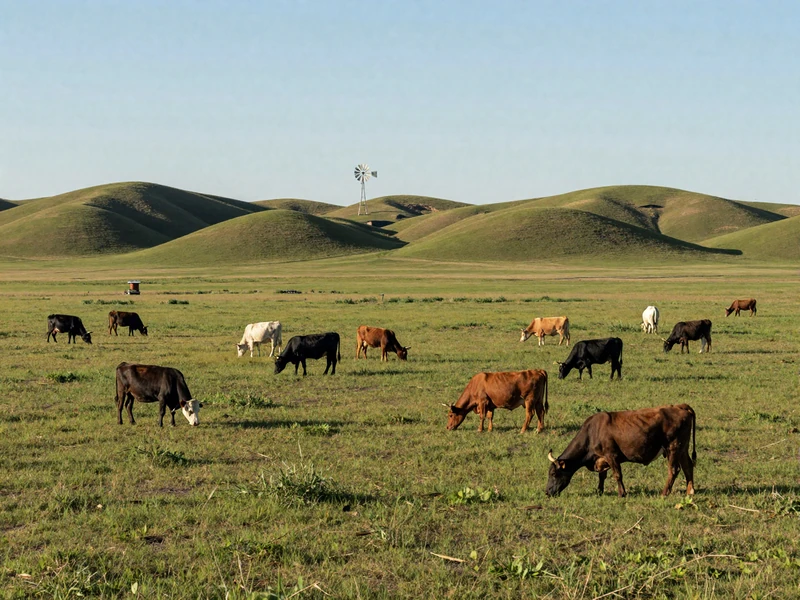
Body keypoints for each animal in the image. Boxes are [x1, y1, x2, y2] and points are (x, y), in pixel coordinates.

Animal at [545, 404, 696, 498]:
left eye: (553, 473)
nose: (547, 492)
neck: (593, 432)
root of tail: (679, 406)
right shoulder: (602, 458)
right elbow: (602, 476)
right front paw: (599, 491)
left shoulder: (611, 455)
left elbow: (617, 475)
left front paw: (622, 493)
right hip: (682, 448)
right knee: (688, 466)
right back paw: (690, 491)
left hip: (673, 448)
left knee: (674, 470)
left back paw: (664, 493)